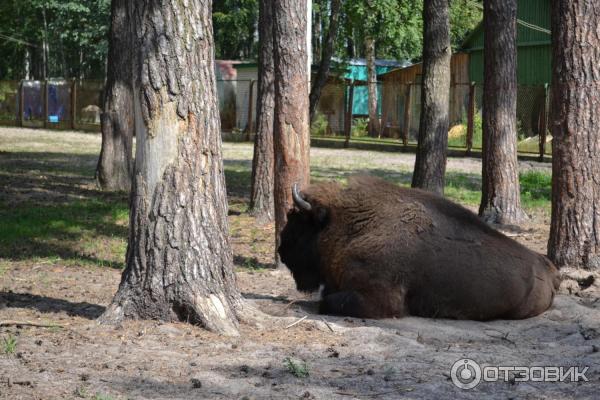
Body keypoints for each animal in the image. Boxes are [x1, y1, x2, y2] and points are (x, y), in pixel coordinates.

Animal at [278, 177, 560, 320]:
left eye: (297, 221)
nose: (281, 249)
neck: (352, 225)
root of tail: (548, 268)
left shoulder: (379, 299)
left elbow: (325, 302)